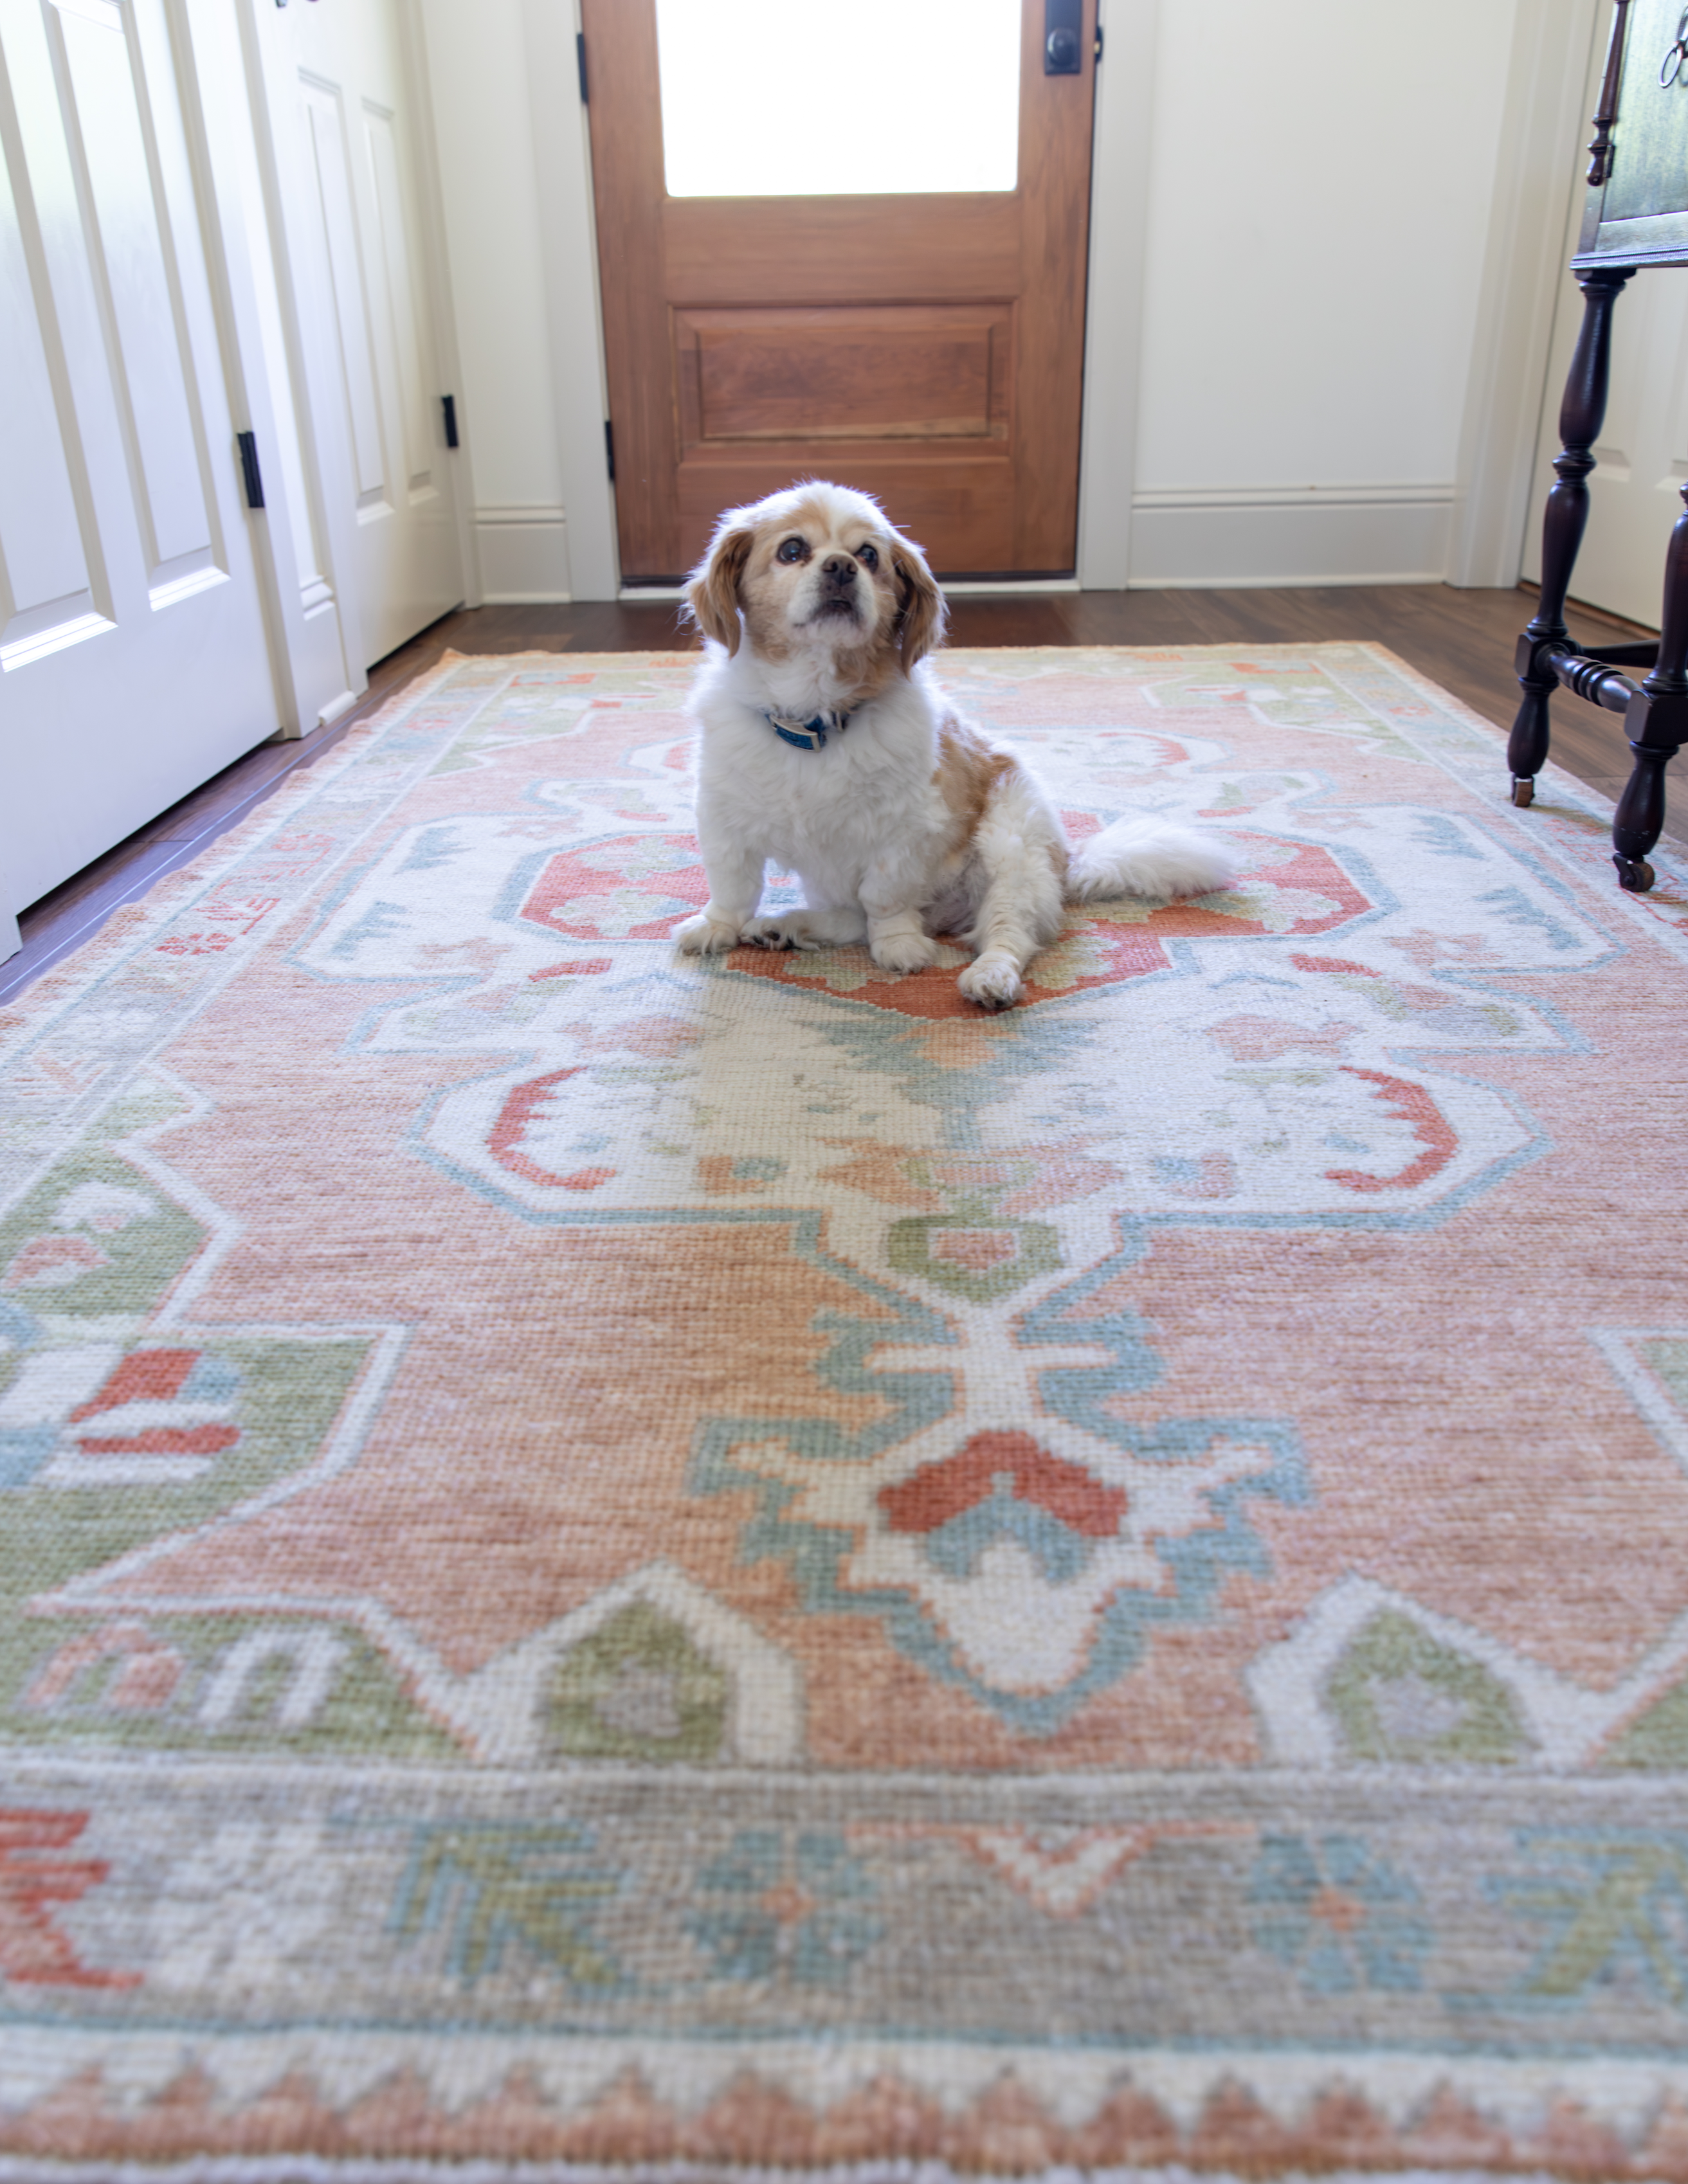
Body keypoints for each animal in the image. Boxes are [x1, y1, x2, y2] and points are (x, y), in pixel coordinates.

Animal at [672, 482, 1240, 1009]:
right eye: (792, 550)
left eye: (868, 555)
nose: (840, 567)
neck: (815, 719)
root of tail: (1066, 866)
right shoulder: (724, 820)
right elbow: (733, 887)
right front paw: (716, 928)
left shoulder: (901, 833)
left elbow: (884, 900)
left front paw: (899, 946)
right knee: (848, 918)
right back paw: (790, 925)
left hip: (1011, 852)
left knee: (1006, 935)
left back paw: (989, 977)